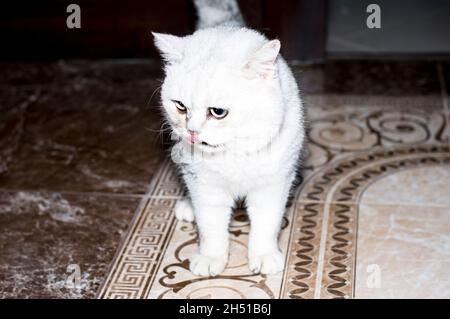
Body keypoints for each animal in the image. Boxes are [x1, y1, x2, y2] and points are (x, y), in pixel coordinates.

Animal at [152, 0, 306, 278]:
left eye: (218, 112)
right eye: (180, 106)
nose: (192, 131)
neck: (235, 152)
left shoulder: (273, 185)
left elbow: (266, 224)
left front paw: (264, 255)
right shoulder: (206, 188)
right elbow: (211, 227)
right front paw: (211, 257)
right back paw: (187, 205)